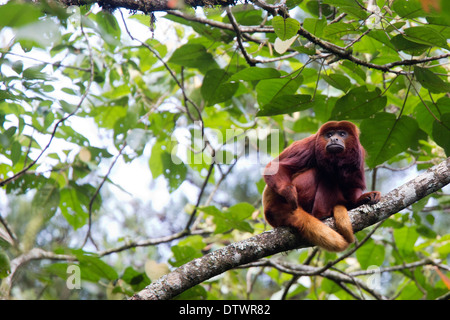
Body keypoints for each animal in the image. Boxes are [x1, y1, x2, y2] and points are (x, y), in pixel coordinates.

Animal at [262, 120, 382, 252]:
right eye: (329, 135)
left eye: (342, 133)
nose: (334, 139)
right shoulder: (310, 145)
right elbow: (276, 167)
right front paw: (289, 192)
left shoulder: (358, 155)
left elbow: (354, 185)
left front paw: (361, 199)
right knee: (323, 173)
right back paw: (322, 214)